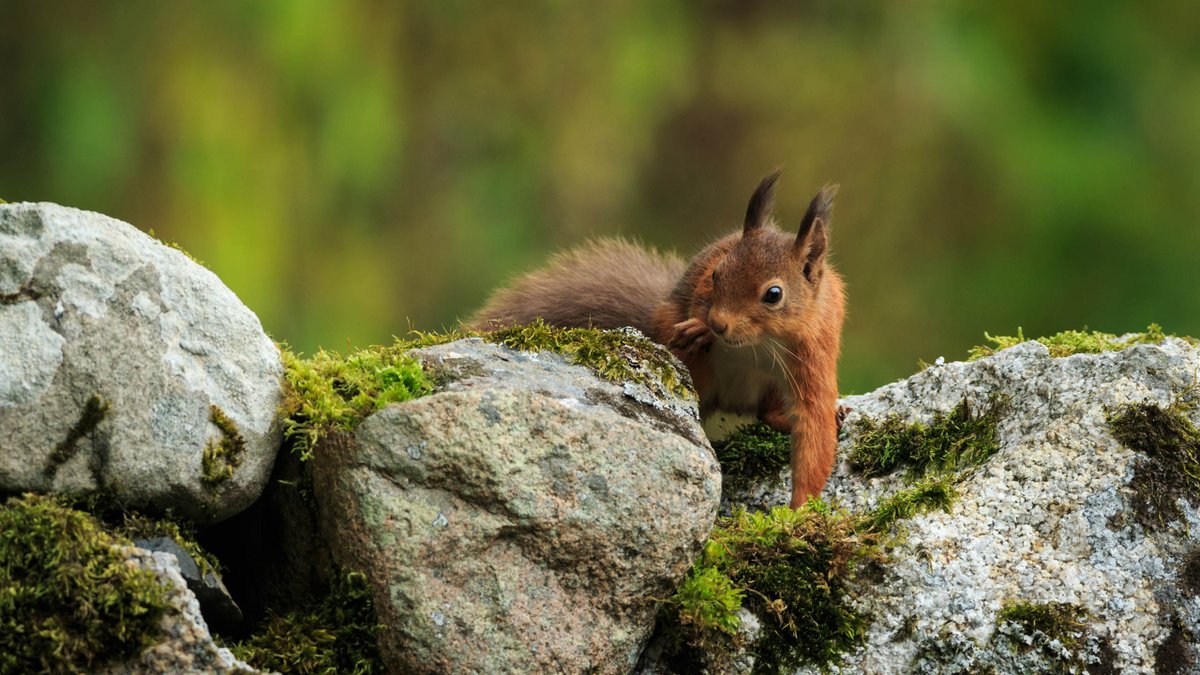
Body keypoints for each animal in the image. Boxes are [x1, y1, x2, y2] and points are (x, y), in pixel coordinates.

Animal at [472, 171, 845, 508]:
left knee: (766, 413)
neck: (759, 342)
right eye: (716, 274)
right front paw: (699, 327)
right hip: (687, 355)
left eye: (773, 294)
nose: (718, 324)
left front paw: (799, 512)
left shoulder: (812, 355)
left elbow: (814, 426)